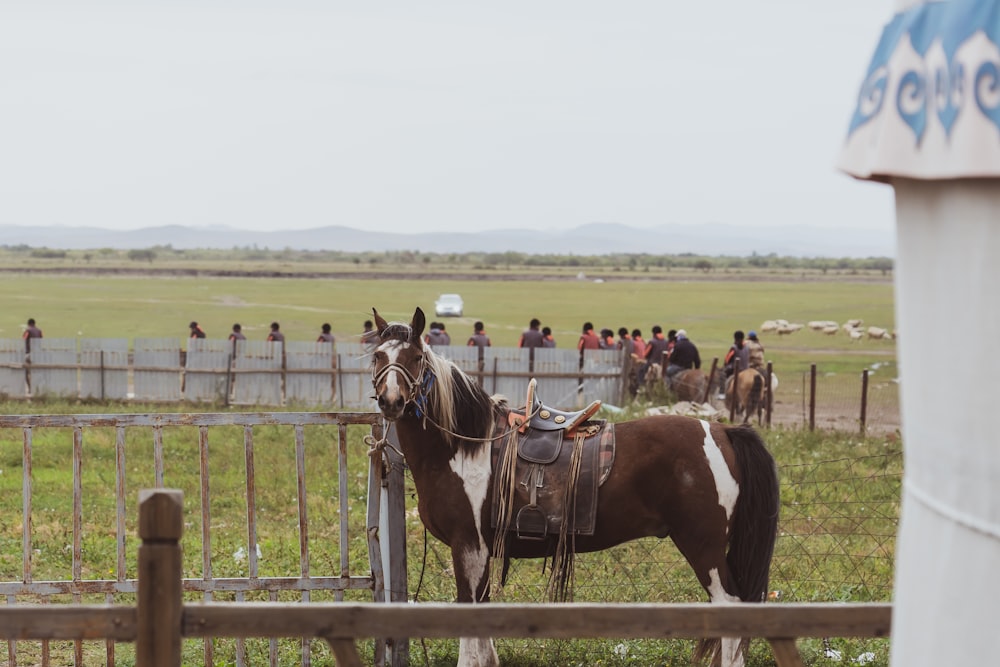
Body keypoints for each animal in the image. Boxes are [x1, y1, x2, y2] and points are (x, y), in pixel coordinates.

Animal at [370, 310, 780, 667]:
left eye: (416, 357)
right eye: (378, 355)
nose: (392, 402)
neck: (463, 445)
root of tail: (723, 431)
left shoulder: (468, 546)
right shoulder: (480, 553)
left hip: (703, 545)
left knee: (730, 609)